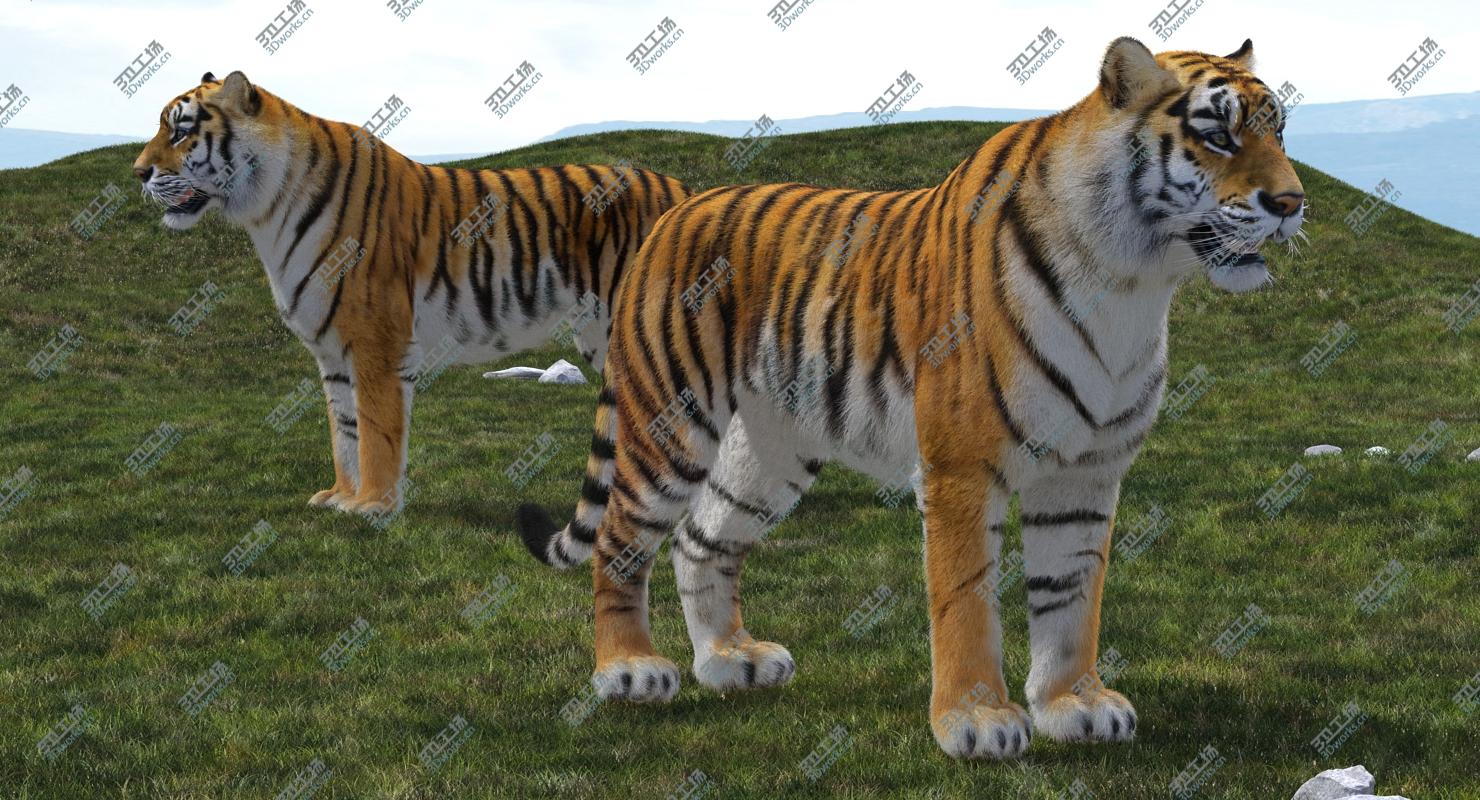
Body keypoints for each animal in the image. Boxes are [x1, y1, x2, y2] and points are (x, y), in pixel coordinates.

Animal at [131, 71, 688, 515]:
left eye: (182, 129)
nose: (137, 173)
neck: (266, 212)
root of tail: (686, 191)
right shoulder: (332, 352)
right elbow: (345, 431)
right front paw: (340, 497)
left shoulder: (376, 341)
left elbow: (377, 432)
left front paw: (373, 507)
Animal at [516, 38, 1305, 759]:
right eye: (1217, 133)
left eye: (1279, 129)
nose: (1293, 203)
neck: (1133, 282)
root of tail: (675, 210)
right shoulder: (964, 468)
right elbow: (966, 599)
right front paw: (977, 722)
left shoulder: (1087, 472)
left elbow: (1071, 596)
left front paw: (1072, 705)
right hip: (670, 422)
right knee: (621, 538)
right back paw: (628, 670)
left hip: (770, 449)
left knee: (701, 537)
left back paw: (730, 660)